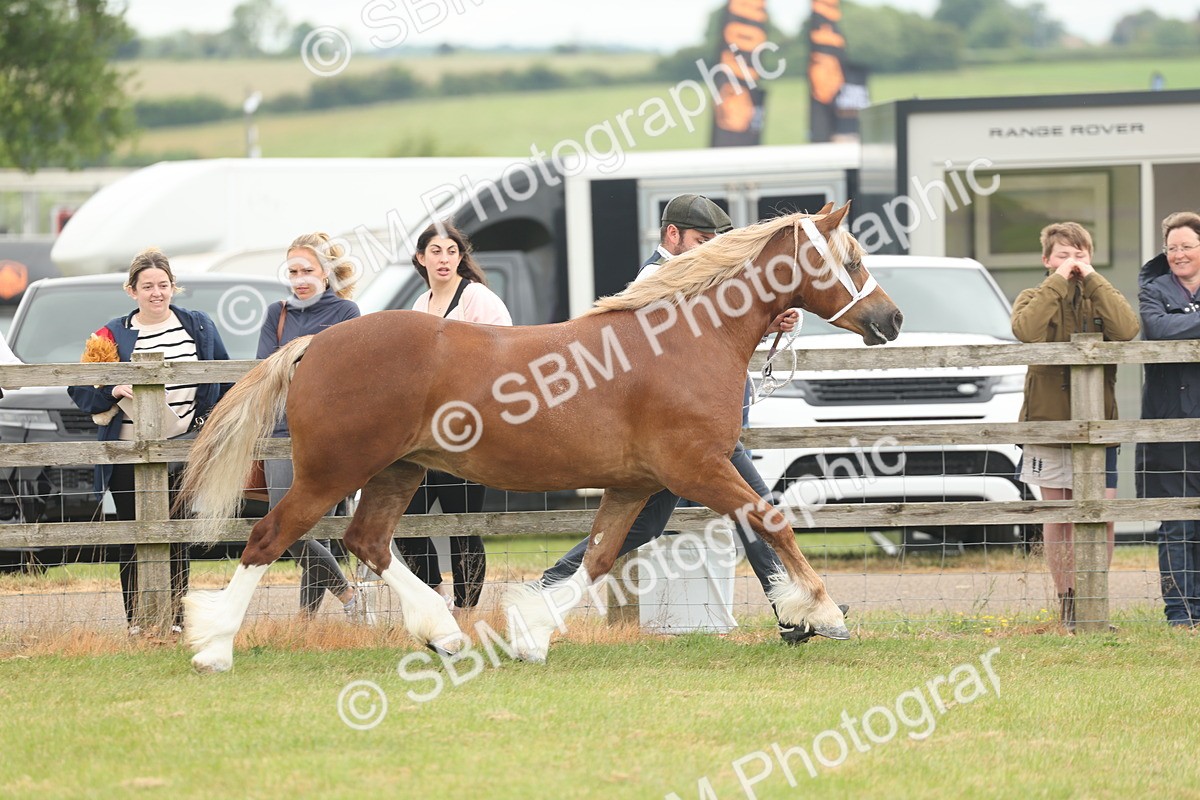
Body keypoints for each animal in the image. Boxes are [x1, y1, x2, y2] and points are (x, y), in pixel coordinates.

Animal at [178, 202, 902, 671]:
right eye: (852, 257)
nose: (891, 319)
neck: (683, 340)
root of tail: (315, 344)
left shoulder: (634, 485)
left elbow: (598, 560)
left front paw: (530, 634)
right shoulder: (697, 469)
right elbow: (770, 519)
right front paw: (822, 613)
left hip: (397, 470)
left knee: (368, 543)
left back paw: (445, 636)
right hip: (331, 472)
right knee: (271, 537)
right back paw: (213, 647)